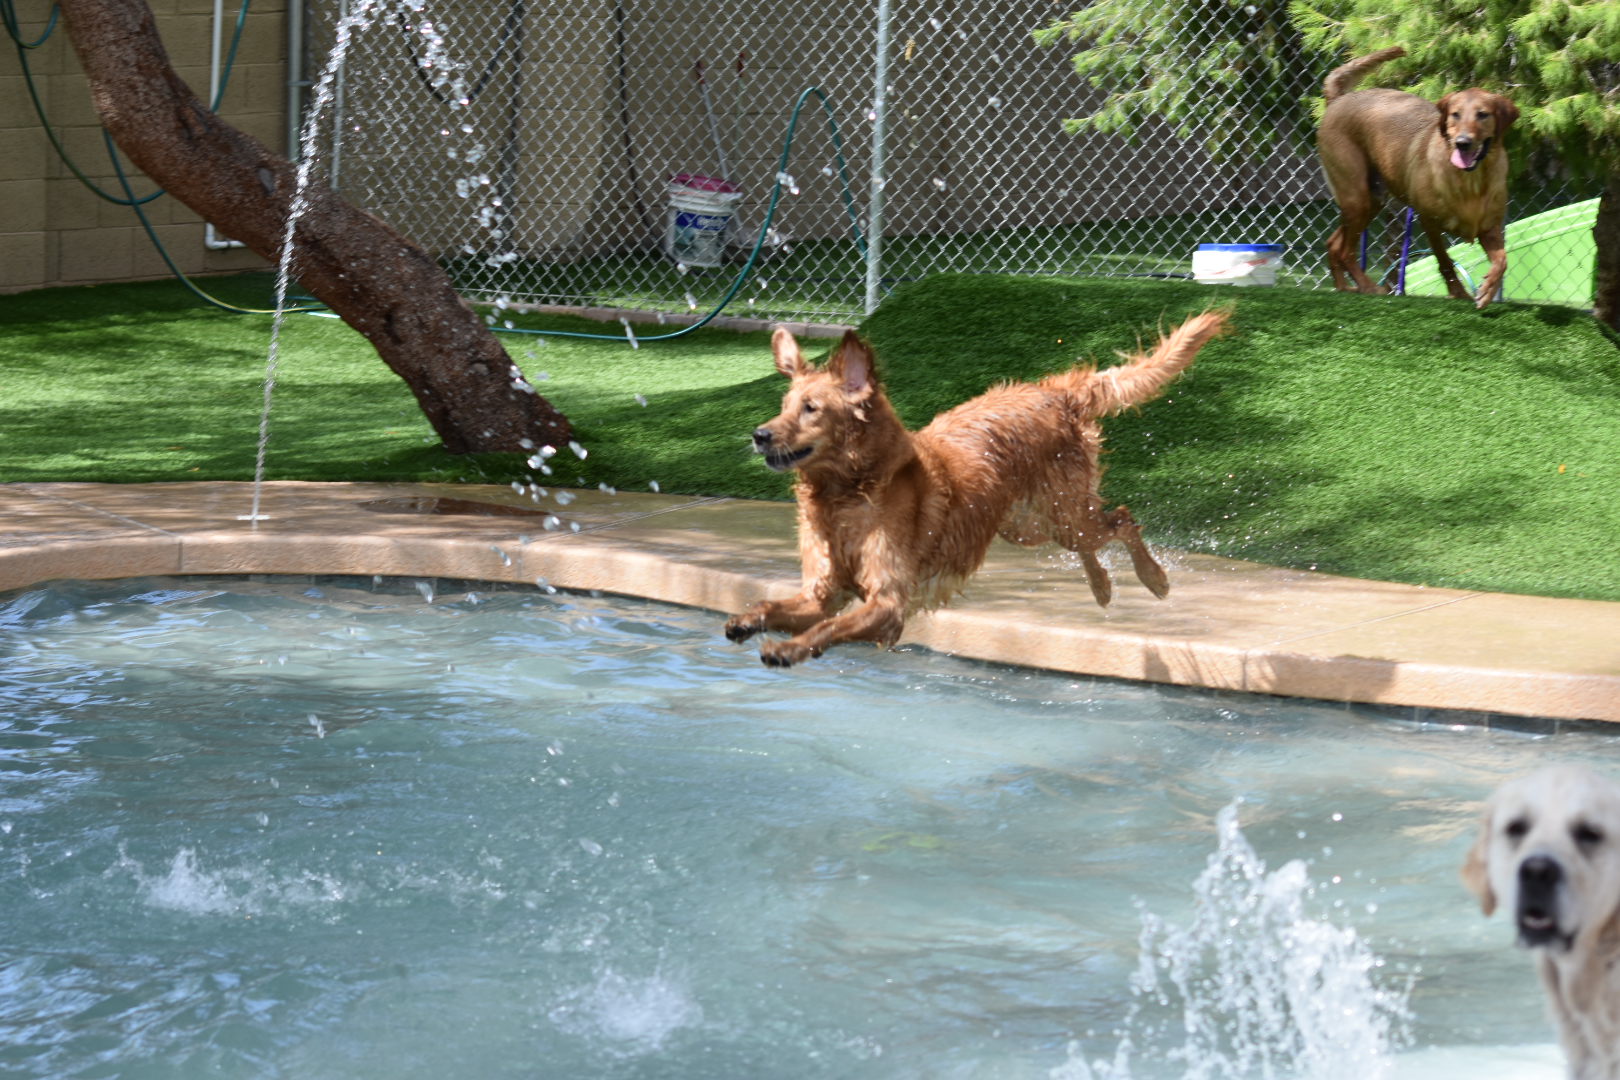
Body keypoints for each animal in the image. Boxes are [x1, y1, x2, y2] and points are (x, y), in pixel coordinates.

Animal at [722, 310, 1224, 667]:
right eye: (784, 405)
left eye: (811, 408)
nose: (759, 434)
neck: (848, 490)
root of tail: (1055, 392)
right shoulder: (823, 593)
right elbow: (770, 603)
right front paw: (745, 621)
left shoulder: (888, 601)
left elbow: (827, 629)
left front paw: (787, 649)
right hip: (1028, 524)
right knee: (1092, 537)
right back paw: (1102, 587)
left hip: (1062, 513)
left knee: (1120, 518)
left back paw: (1153, 578)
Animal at [1321, 46, 1509, 307]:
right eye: (1455, 115)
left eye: (1483, 115)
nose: (1462, 142)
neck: (1471, 181)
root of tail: (1338, 99)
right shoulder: (1429, 221)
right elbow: (1445, 262)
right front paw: (1459, 292)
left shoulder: (1489, 227)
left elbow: (1502, 260)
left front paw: (1488, 289)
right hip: (1356, 197)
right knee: (1345, 250)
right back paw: (1368, 287)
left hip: (1370, 201)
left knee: (1334, 243)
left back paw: (1344, 288)